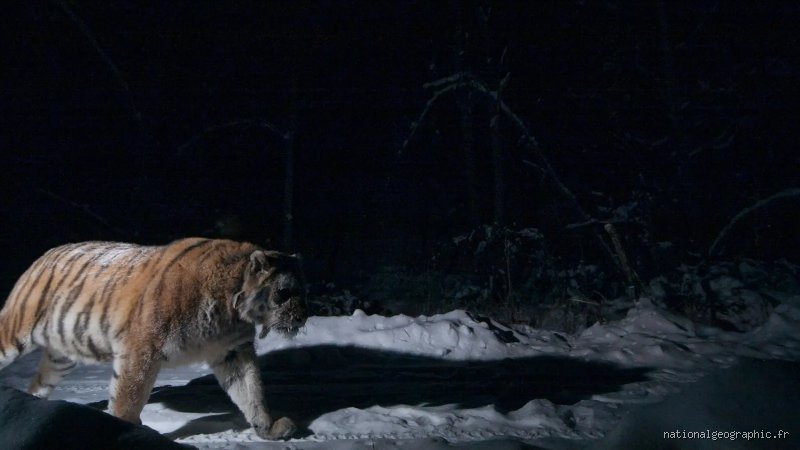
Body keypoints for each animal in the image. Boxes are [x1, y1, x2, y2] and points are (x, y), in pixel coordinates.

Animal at [0, 238, 308, 440]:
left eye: (303, 291)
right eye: (284, 293)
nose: (302, 318)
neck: (231, 311)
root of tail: (44, 256)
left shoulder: (233, 351)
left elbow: (252, 391)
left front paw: (269, 428)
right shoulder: (141, 349)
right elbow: (129, 396)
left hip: (62, 355)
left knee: (39, 385)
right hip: (16, 334)